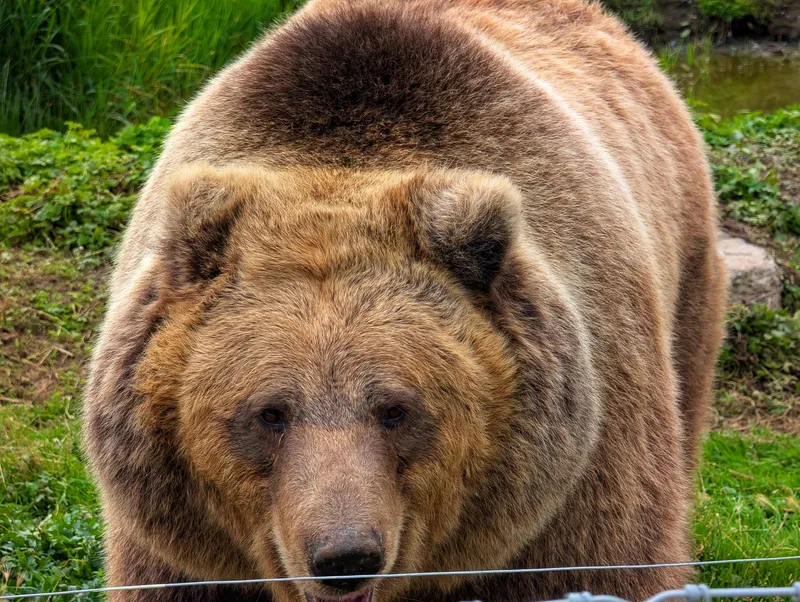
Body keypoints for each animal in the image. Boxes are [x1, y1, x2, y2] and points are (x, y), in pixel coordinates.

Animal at [83, 1, 728, 602]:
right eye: (269, 413)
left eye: (395, 409)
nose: (345, 556)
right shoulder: (178, 549)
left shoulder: (576, 484)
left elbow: (609, 558)